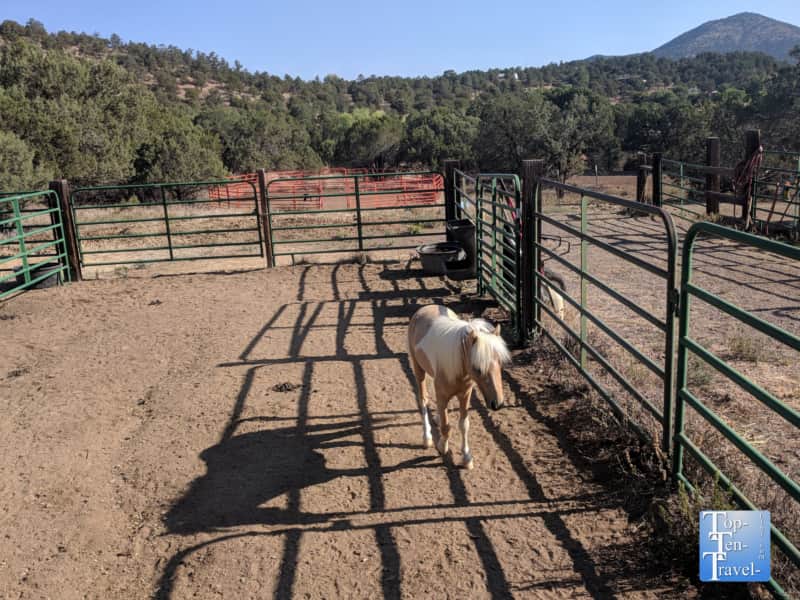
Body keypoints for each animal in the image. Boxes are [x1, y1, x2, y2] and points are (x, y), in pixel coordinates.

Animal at [407, 305, 511, 469]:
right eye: (477, 368)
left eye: (500, 363)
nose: (498, 404)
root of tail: (424, 308)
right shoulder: (443, 395)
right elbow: (446, 426)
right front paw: (442, 446)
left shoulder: (465, 395)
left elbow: (463, 425)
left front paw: (467, 458)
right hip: (419, 370)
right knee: (423, 400)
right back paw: (427, 438)